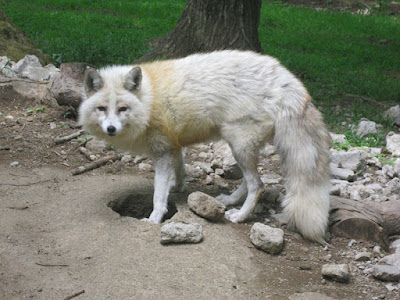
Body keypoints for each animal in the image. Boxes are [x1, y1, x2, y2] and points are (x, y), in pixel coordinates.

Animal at [78, 50, 332, 244]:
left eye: (122, 109)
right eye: (102, 109)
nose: (111, 129)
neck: (149, 101)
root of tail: (286, 79)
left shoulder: (162, 151)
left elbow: (158, 194)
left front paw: (155, 218)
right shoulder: (173, 145)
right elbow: (180, 170)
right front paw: (178, 187)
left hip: (238, 144)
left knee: (257, 185)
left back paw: (239, 216)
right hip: (241, 148)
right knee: (250, 182)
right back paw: (229, 200)